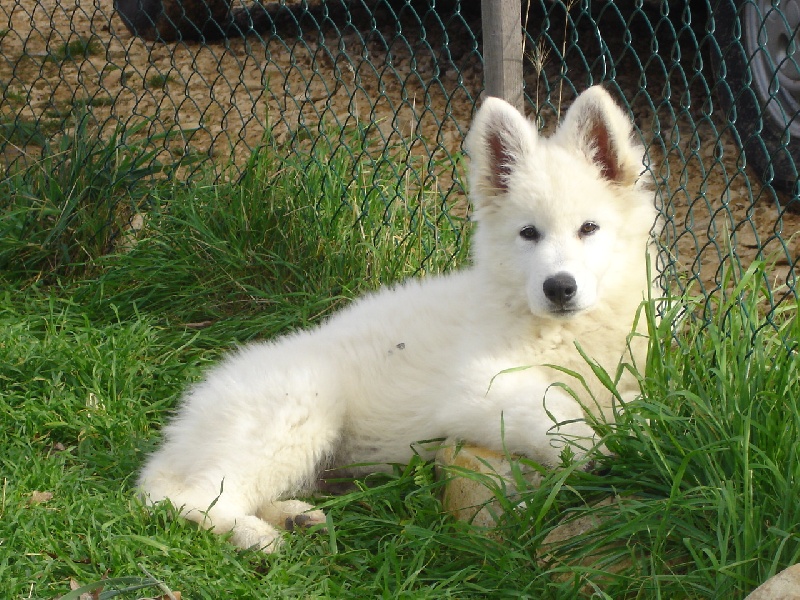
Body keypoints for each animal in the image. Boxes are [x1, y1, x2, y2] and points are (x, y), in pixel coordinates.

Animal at [138, 85, 657, 552]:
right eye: (528, 233)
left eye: (589, 228)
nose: (559, 287)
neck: (565, 328)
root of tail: (186, 422)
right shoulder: (476, 386)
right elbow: (558, 411)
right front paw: (611, 446)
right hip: (299, 409)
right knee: (183, 497)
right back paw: (256, 537)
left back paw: (296, 519)